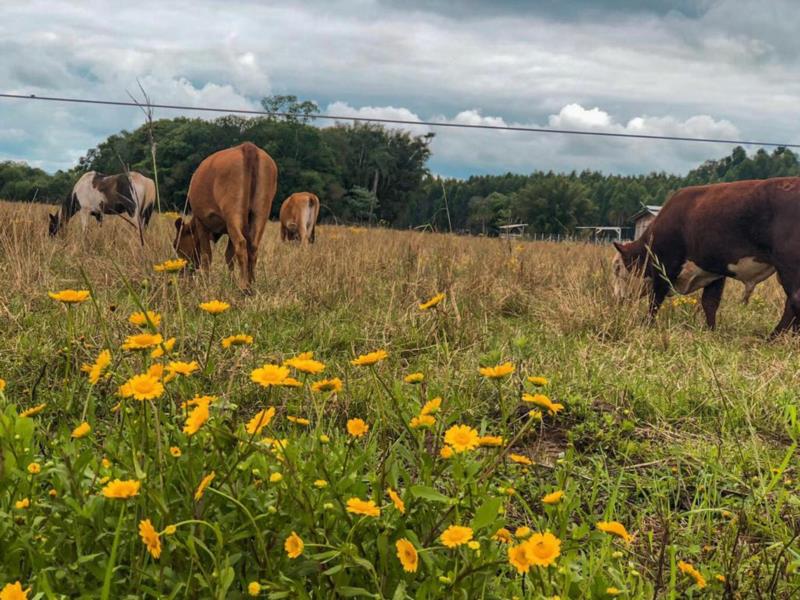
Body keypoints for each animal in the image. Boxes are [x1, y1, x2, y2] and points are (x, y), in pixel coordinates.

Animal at [173, 141, 278, 290]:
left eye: (176, 245)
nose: (182, 274)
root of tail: (248, 147)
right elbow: (229, 256)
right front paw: (231, 281)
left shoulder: (202, 222)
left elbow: (207, 255)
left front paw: (206, 282)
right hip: (261, 211)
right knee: (253, 247)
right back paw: (251, 283)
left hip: (232, 212)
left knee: (241, 244)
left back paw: (244, 287)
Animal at [608, 178, 792, 336]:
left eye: (617, 269)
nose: (615, 298)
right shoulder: (716, 273)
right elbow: (709, 303)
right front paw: (711, 331)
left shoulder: (665, 268)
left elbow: (655, 301)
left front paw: (647, 324)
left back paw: (774, 337)